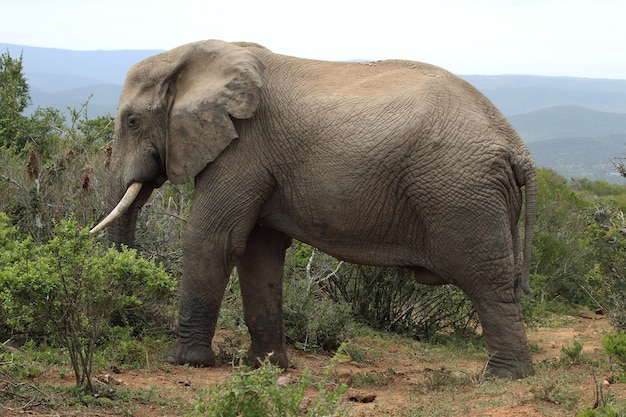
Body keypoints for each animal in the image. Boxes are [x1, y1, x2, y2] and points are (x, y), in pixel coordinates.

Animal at [91, 40, 536, 378]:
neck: (195, 56)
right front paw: (265, 368)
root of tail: (518, 149)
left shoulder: (243, 148)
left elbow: (213, 240)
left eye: (132, 122)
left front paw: (184, 362)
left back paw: (501, 378)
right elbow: (258, 253)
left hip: (462, 193)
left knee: (486, 278)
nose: (120, 322)